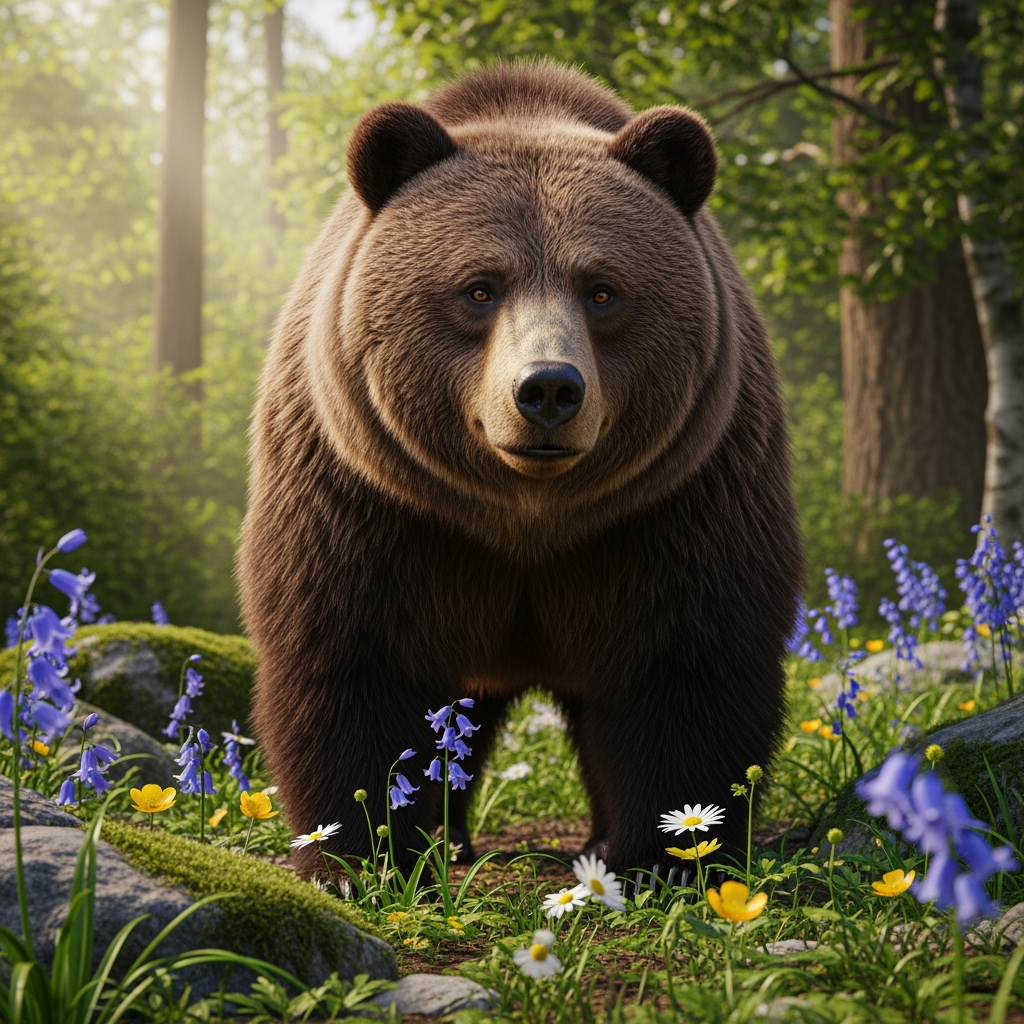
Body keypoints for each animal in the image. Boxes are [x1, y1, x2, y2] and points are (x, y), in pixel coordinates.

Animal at [240, 60, 803, 879]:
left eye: (602, 289)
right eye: (480, 286)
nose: (548, 390)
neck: (525, 515)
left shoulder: (677, 504)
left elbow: (683, 665)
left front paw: (671, 851)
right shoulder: (371, 505)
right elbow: (357, 660)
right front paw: (365, 852)